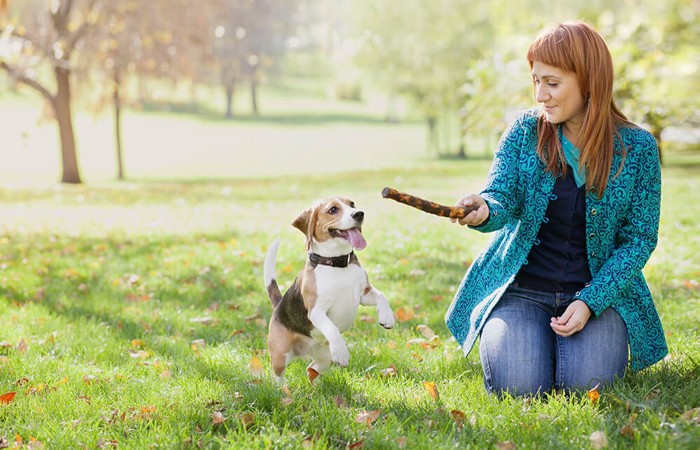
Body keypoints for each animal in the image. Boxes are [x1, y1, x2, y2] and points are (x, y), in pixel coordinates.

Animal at [262, 196, 394, 384]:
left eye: (352, 204)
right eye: (333, 210)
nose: (359, 214)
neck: (337, 263)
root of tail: (279, 305)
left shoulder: (364, 293)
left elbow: (382, 296)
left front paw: (387, 317)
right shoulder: (316, 311)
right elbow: (332, 328)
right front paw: (342, 352)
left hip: (325, 357)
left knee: (311, 369)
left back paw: (317, 385)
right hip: (280, 355)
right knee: (278, 376)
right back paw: (283, 389)